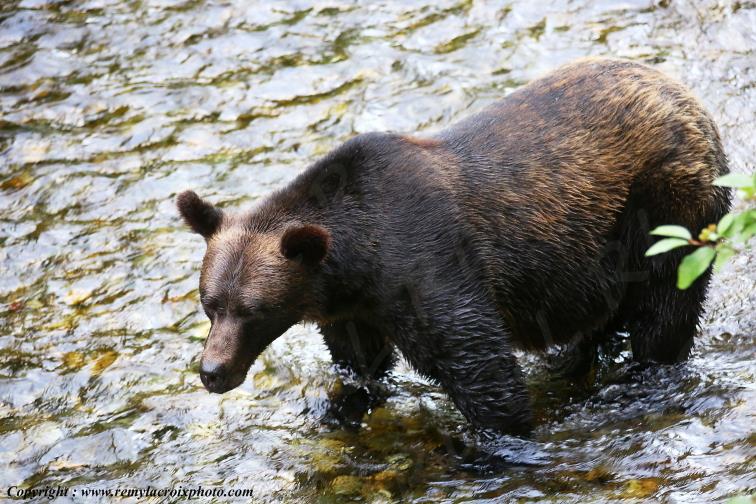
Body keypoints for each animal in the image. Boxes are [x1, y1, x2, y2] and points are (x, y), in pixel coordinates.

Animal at [177, 57, 731, 435]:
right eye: (211, 304)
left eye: (253, 310)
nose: (212, 371)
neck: (358, 264)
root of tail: (685, 94)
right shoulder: (354, 309)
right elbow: (361, 364)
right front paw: (340, 406)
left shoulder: (429, 266)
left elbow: (480, 369)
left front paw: (501, 441)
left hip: (665, 208)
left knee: (664, 307)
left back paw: (640, 376)